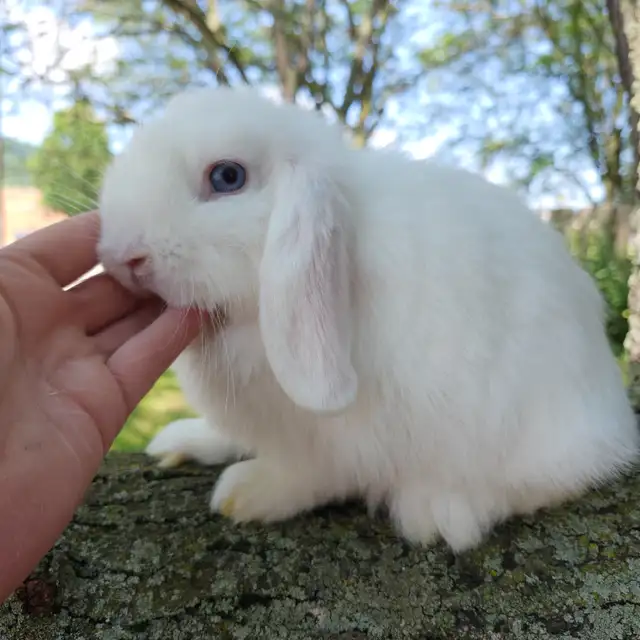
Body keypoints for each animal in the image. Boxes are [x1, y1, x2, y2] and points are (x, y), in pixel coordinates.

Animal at [97, 85, 639, 552]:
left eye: (227, 177)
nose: (122, 256)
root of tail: (612, 412)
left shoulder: (342, 441)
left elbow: (312, 476)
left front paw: (247, 492)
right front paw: (188, 440)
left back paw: (438, 511)